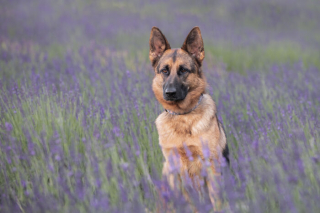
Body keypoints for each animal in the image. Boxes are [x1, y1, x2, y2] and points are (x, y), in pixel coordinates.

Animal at [149, 26, 229, 208]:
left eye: (183, 70)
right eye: (164, 71)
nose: (169, 93)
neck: (182, 116)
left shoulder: (211, 166)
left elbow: (216, 200)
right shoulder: (175, 168)